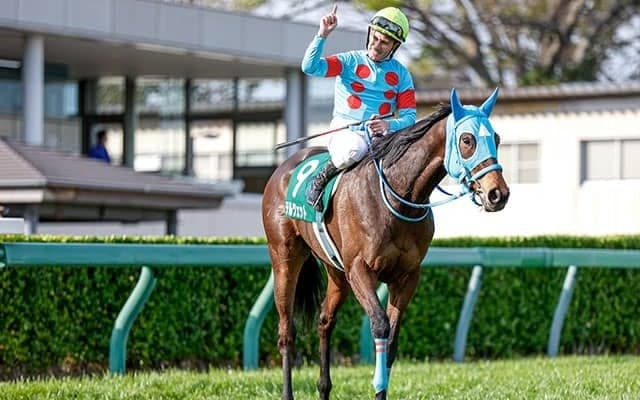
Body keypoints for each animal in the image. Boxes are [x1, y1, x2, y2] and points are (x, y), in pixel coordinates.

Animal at [261, 88, 510, 400]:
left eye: (497, 138)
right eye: (467, 140)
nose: (498, 194)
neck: (397, 197)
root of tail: (282, 167)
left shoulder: (406, 277)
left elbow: (391, 339)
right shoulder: (360, 270)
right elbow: (379, 326)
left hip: (337, 273)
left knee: (325, 320)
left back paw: (323, 387)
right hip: (285, 258)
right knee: (286, 331)